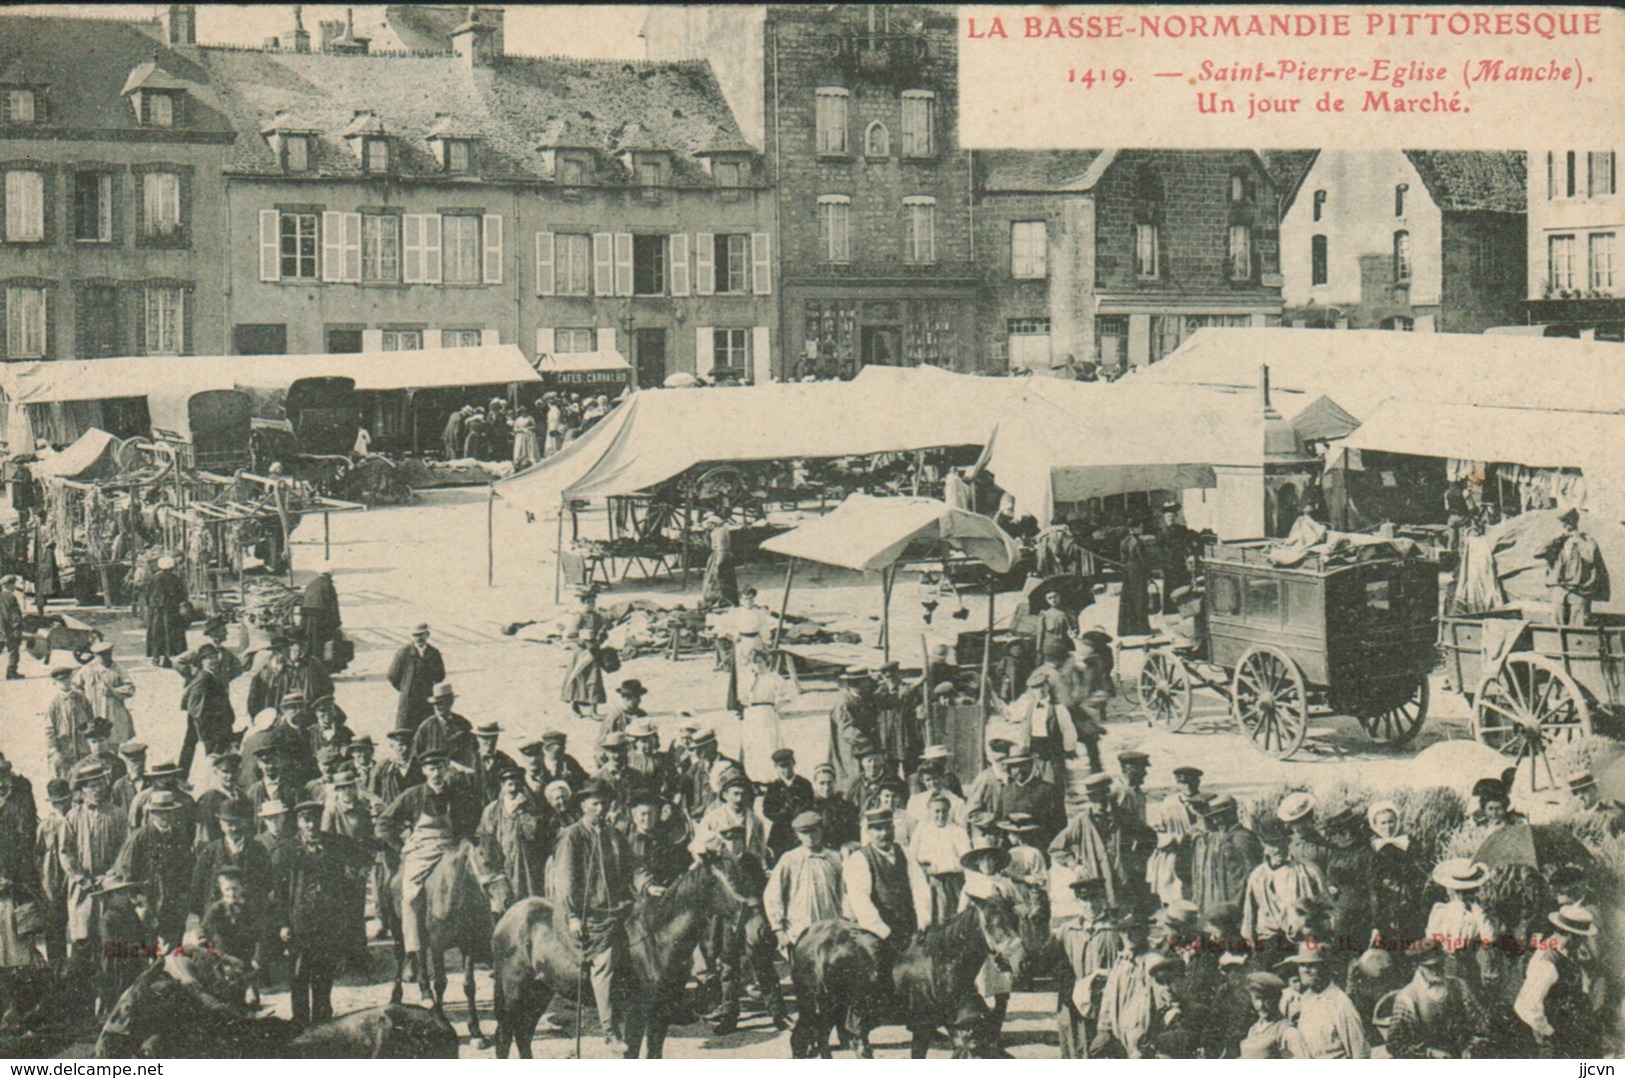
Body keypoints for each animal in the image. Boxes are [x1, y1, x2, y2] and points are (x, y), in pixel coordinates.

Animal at [388, 838, 510, 1040]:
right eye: (486, 862)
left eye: (504, 859)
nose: (506, 900)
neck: (454, 892)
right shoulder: (438, 945)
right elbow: (441, 982)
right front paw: (441, 1020)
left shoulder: (468, 944)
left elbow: (469, 985)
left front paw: (475, 1029)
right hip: (398, 927)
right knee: (399, 956)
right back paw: (396, 996)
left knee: (421, 954)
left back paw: (426, 994)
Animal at [484, 851, 757, 1060]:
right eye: (712, 880)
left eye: (736, 874)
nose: (745, 909)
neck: (657, 938)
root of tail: (508, 917)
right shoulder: (636, 1010)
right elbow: (632, 1052)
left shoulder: (661, 1011)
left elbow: (654, 1054)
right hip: (514, 991)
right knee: (504, 1036)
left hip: (539, 991)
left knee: (523, 1034)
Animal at [793, 884, 1046, 1060]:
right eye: (994, 924)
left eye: (1016, 920)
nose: (1024, 963)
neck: (941, 963)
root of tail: (807, 934)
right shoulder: (922, 1025)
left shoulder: (958, 1026)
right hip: (814, 1005)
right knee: (805, 1039)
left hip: (831, 1009)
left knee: (821, 1038)